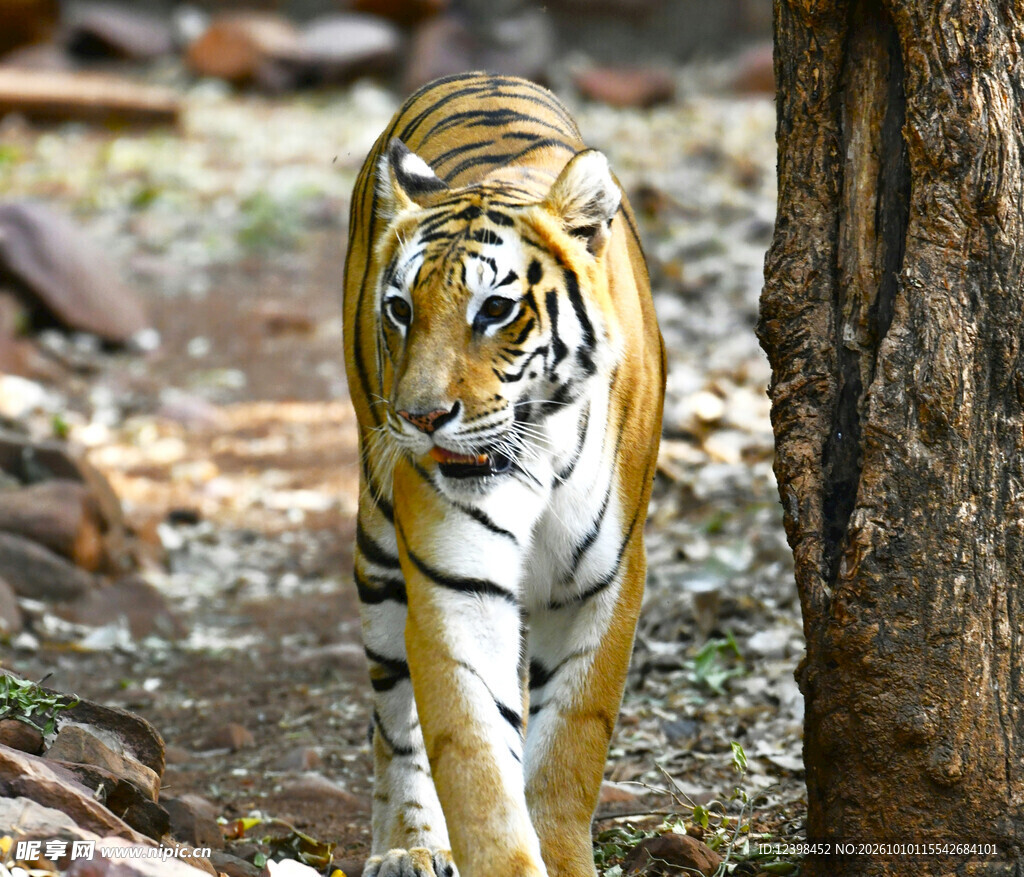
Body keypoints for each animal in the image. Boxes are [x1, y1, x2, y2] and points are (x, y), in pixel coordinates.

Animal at [342, 72, 665, 877]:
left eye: (495, 309)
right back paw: (409, 847)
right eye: (401, 309)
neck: (538, 452)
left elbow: (569, 749)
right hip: (378, 538)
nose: (422, 416)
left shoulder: (606, 581)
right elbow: (474, 756)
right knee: (394, 720)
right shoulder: (455, 582)